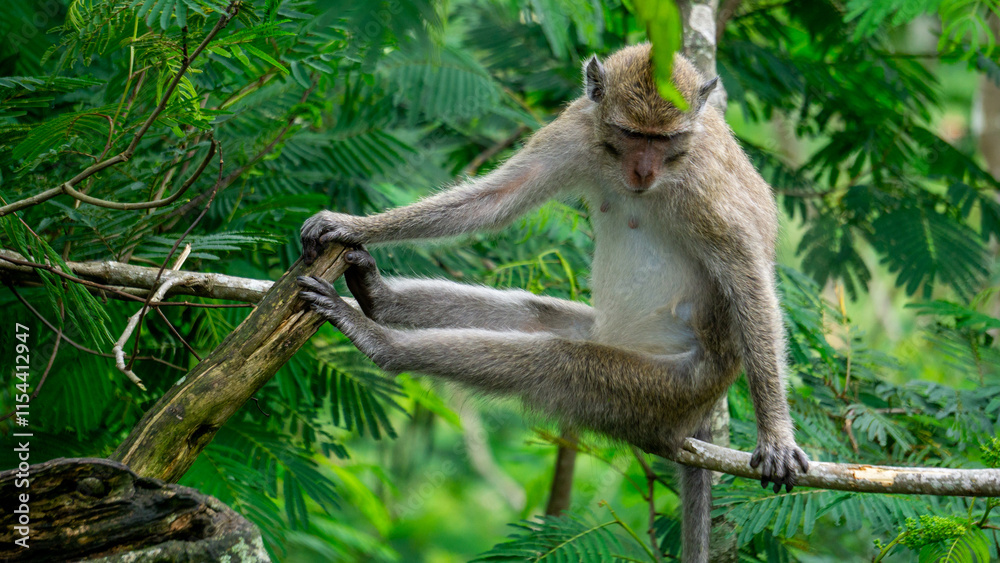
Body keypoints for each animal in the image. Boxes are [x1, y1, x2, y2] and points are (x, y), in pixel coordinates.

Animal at [297, 44, 808, 563]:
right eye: (631, 133)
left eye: (664, 139)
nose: (643, 171)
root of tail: (705, 407)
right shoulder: (577, 130)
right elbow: (496, 199)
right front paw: (354, 225)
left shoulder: (704, 184)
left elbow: (745, 274)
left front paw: (775, 435)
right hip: (612, 341)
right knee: (532, 316)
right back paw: (378, 300)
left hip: (665, 391)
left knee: (553, 361)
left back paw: (382, 343)